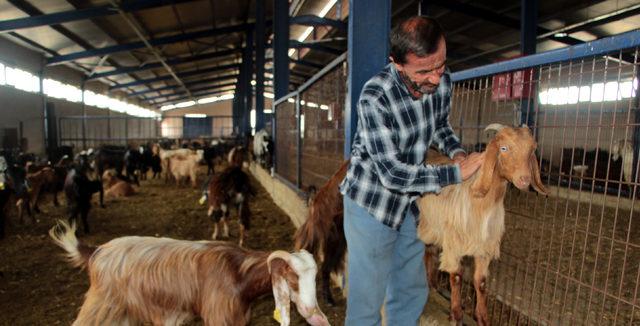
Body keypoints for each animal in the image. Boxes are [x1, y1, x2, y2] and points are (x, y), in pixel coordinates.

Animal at [49, 220, 330, 324]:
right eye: (292, 277)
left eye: (314, 278)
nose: (312, 311)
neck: (238, 273)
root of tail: (96, 251)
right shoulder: (219, 315)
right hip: (101, 305)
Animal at [418, 123, 548, 324]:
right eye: (504, 148)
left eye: (531, 149)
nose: (524, 179)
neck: (482, 202)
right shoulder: (454, 243)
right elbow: (456, 277)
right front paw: (456, 314)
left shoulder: (485, 246)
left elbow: (480, 282)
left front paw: (482, 317)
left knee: (429, 253)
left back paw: (432, 285)